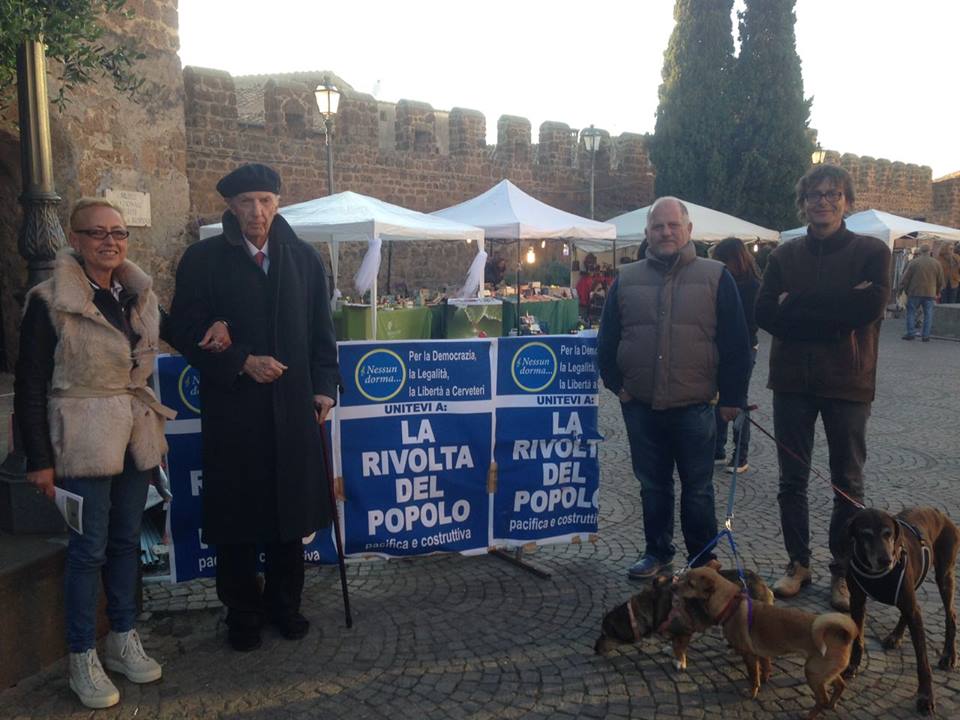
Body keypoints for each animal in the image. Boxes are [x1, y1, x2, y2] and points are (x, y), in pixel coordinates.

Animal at [596, 564, 776, 672]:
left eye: (605, 634)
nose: (594, 650)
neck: (653, 606)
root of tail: (763, 585)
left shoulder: (684, 632)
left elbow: (679, 648)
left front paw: (679, 663)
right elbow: (674, 644)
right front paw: (670, 650)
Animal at [676, 568, 856, 716]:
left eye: (690, 584)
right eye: (684, 578)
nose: (673, 586)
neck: (730, 605)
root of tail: (844, 634)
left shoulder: (749, 656)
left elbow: (753, 677)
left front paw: (752, 692)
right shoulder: (761, 653)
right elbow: (764, 668)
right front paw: (764, 679)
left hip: (813, 673)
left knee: (821, 700)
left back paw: (810, 715)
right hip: (826, 672)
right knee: (840, 686)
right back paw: (832, 705)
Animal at [844, 506, 956, 716]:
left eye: (888, 533)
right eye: (866, 534)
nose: (885, 560)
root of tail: (939, 513)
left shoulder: (912, 608)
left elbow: (922, 660)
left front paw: (926, 697)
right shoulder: (856, 600)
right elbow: (857, 639)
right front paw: (852, 665)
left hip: (944, 575)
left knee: (950, 614)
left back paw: (948, 655)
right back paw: (895, 636)